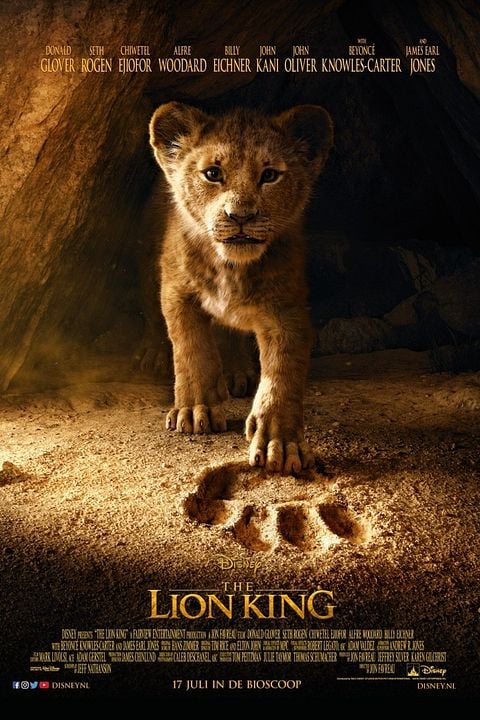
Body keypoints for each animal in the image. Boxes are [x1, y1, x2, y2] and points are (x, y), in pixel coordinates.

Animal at [149, 101, 333, 473]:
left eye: (270, 175)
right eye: (212, 173)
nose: (241, 216)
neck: (231, 267)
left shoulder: (287, 310)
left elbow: (282, 373)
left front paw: (281, 442)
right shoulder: (176, 292)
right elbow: (191, 349)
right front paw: (195, 409)